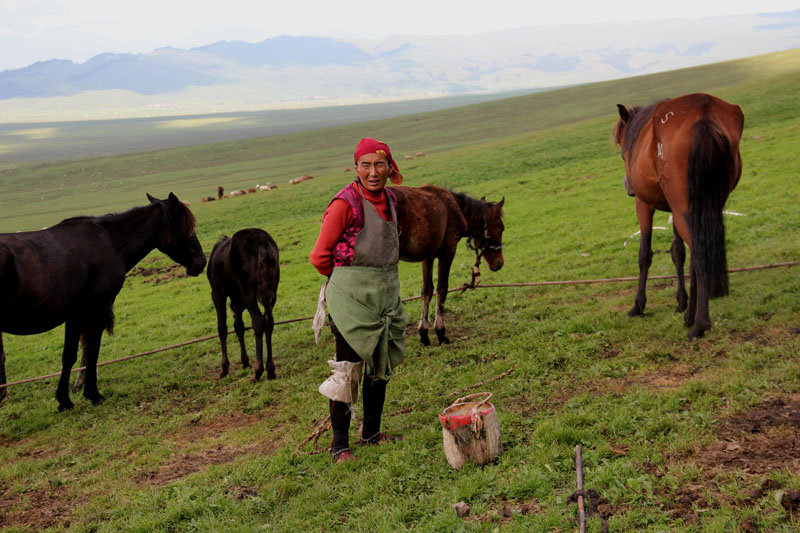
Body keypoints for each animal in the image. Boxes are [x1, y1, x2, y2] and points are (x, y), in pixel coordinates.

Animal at [0, 193, 206, 410]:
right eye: (186, 229)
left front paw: (64, 399)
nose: (201, 262)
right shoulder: (97, 309)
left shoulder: (75, 315)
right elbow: (92, 351)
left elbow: (69, 355)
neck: (111, 241)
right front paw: (92, 394)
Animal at [208, 227, 280, 380]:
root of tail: (263, 244)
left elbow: (222, 328)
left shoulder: (218, 292)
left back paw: (258, 371)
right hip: (272, 288)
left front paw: (224, 368)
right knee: (269, 321)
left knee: (258, 321)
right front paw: (245, 361)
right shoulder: (236, 296)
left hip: (249, 291)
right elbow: (239, 326)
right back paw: (270, 369)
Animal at [390, 185, 504, 348]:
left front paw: (424, 333)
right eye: (501, 228)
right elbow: (442, 289)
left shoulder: (428, 257)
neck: (455, 207)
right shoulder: (448, 251)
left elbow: (427, 290)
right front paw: (440, 332)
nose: (499, 263)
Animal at [612, 93, 744, 338]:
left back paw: (699, 323)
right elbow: (678, 253)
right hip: (700, 206)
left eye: (622, 146)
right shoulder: (674, 208)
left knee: (700, 257)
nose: (627, 185)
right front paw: (682, 301)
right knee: (697, 257)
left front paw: (638, 305)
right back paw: (690, 315)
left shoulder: (644, 205)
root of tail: (703, 114)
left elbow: (644, 254)